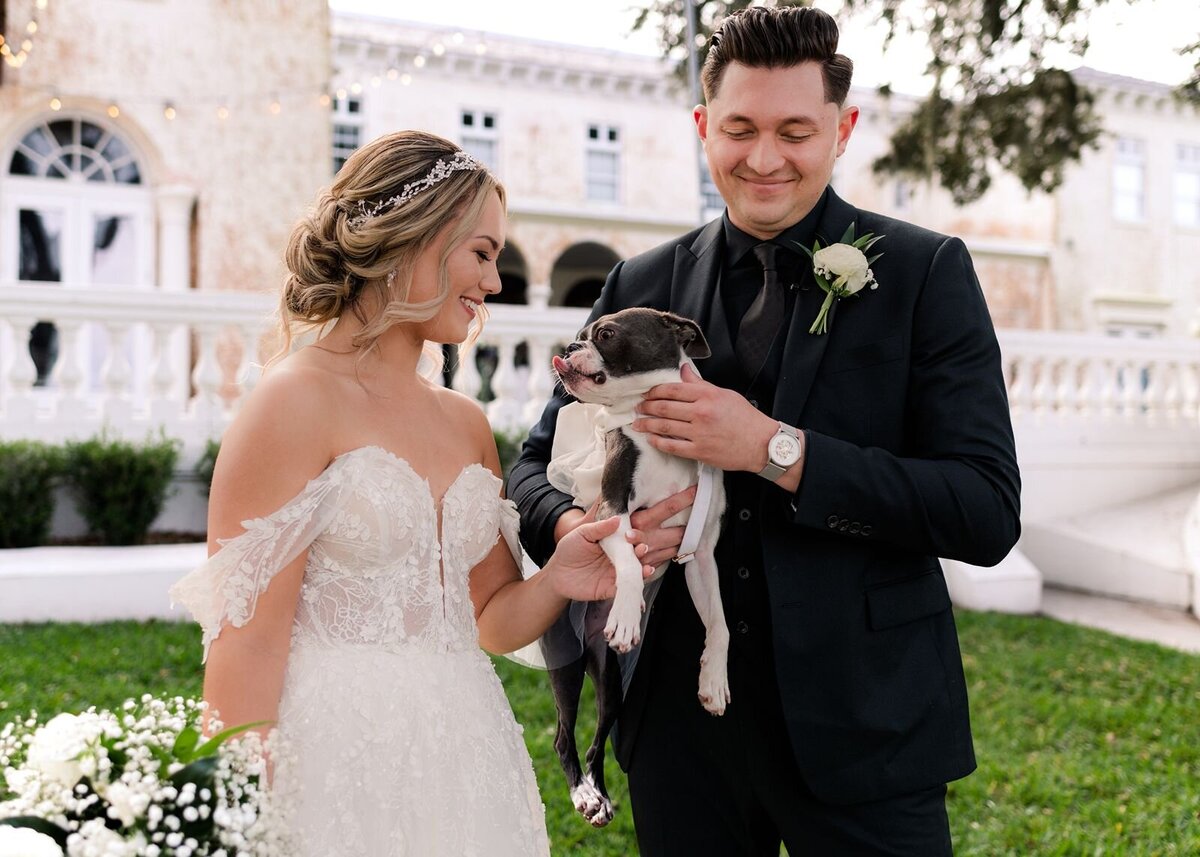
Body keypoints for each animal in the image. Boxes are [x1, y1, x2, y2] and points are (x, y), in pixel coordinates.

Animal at [547, 304, 729, 820]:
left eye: (606, 334)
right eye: (582, 333)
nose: (569, 344)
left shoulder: (700, 555)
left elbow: (720, 624)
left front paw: (713, 680)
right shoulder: (610, 515)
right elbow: (629, 561)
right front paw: (628, 617)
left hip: (612, 686)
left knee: (596, 740)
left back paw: (601, 794)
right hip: (566, 668)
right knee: (564, 737)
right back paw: (583, 794)